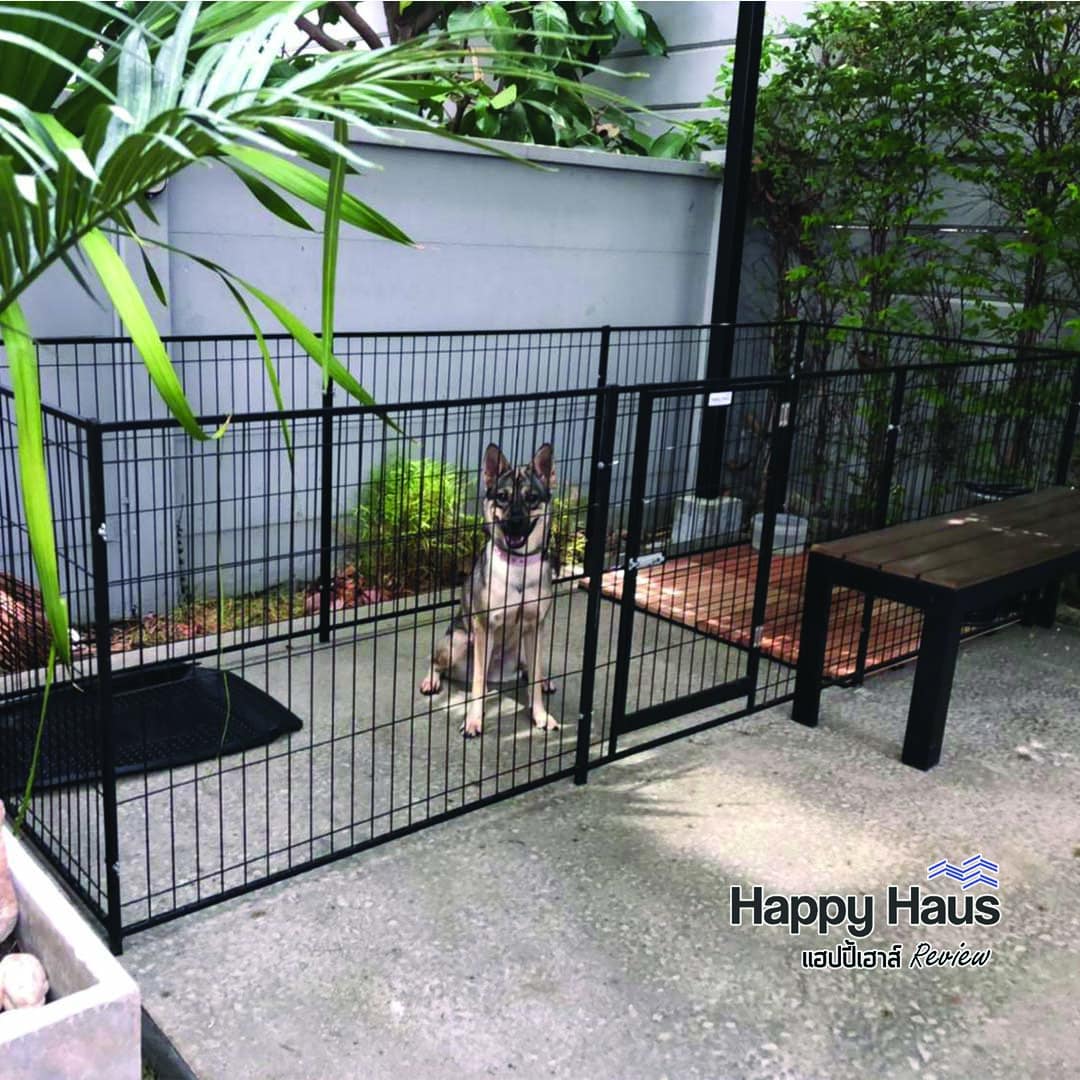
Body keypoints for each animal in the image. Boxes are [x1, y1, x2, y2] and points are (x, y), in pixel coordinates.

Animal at [419, 442, 559, 738]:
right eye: (502, 497)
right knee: (440, 664)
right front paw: (473, 720)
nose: (514, 523)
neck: (518, 568)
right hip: (460, 640)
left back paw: (542, 680)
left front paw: (540, 715)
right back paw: (432, 681)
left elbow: (534, 678)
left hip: (523, 647)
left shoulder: (535, 626)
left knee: (529, 669)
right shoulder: (484, 627)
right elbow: (477, 687)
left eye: (532, 498)